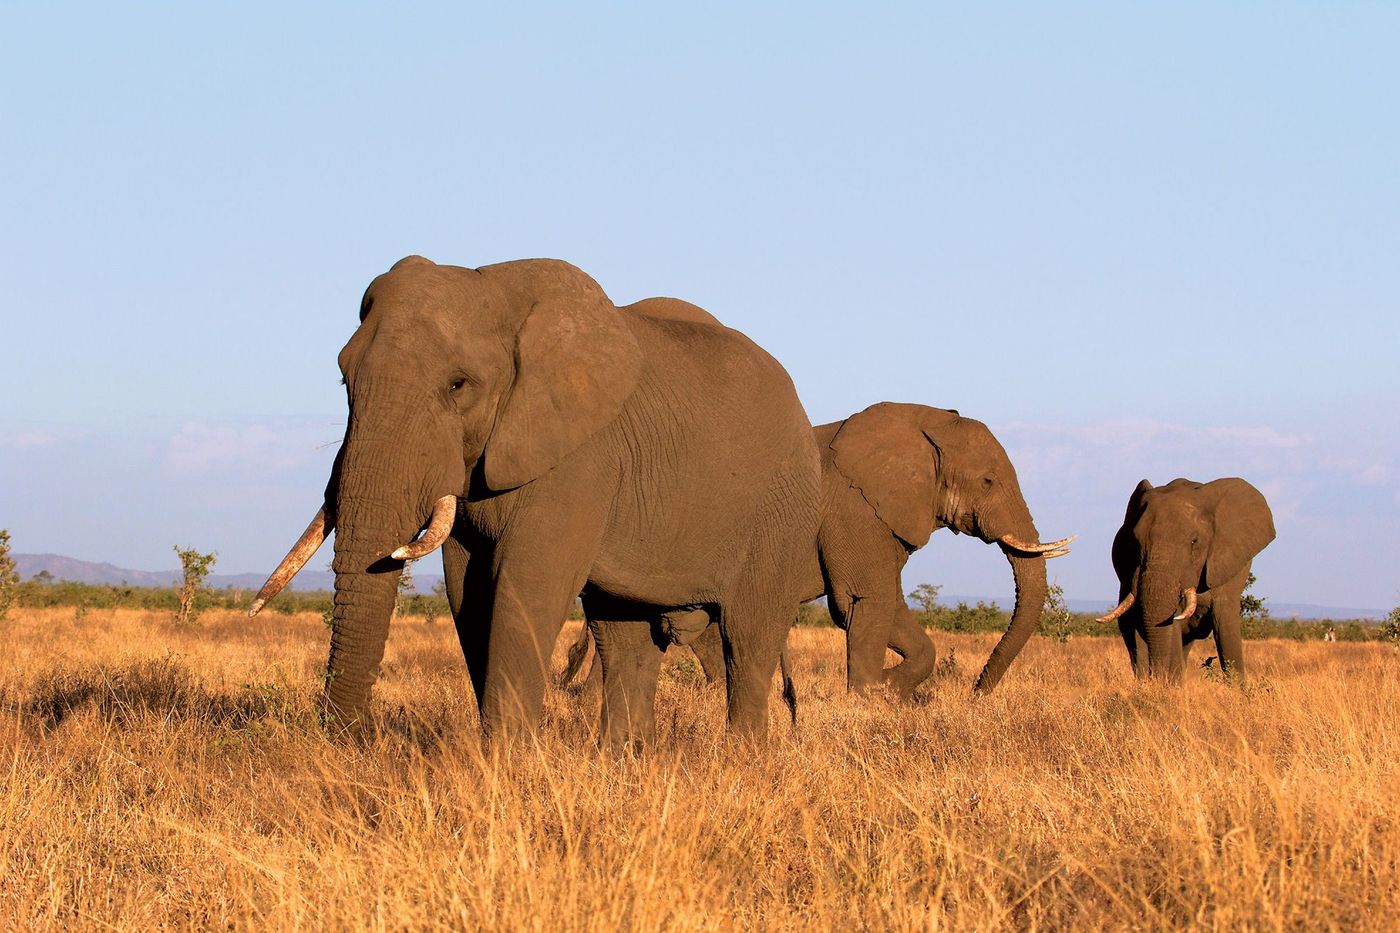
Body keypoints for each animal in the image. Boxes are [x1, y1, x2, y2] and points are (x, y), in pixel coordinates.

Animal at [249, 256, 821, 741]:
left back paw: (743, 761)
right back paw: (622, 761)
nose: (352, 737)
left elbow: (528, 581)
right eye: (344, 379)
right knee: (624, 636)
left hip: (782, 508)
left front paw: (504, 765)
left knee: (748, 637)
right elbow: (467, 589)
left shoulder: (582, 457)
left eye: (458, 385)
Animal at [561, 401, 1074, 699]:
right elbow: (862, 603)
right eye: (988, 481)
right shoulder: (856, 510)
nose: (976, 694)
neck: (922, 423)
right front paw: (869, 699)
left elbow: (888, 608)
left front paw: (890, 692)